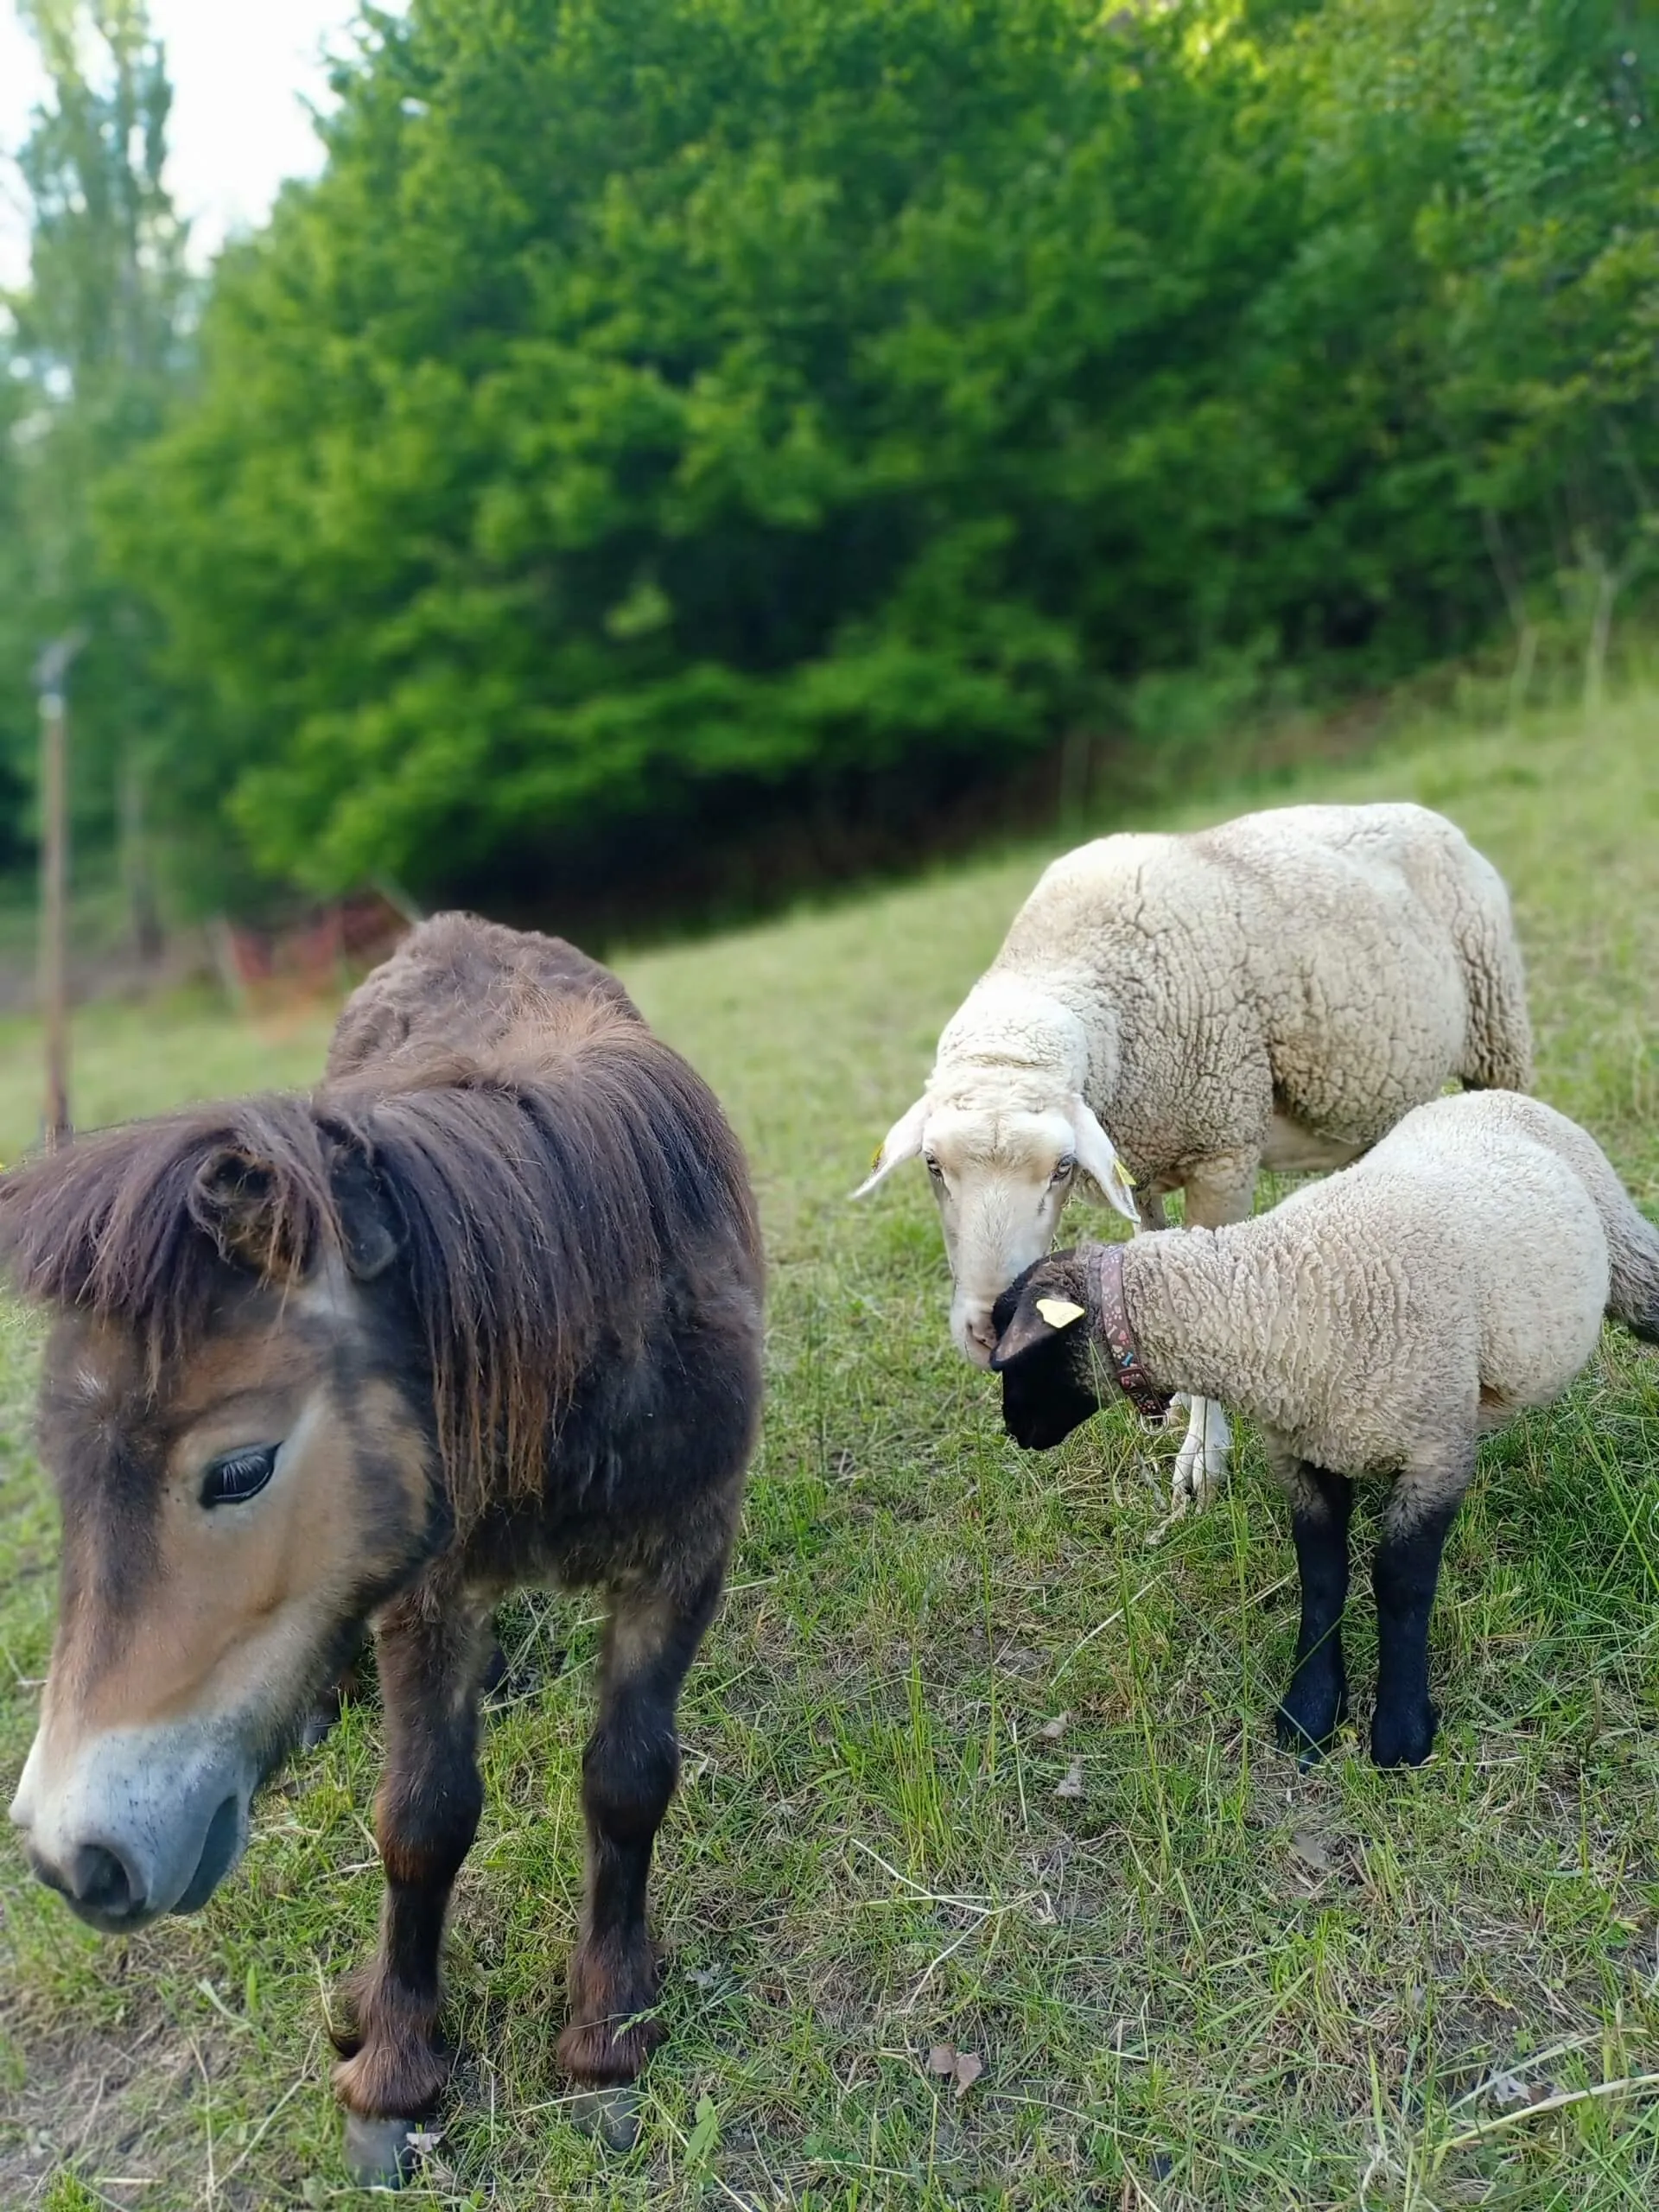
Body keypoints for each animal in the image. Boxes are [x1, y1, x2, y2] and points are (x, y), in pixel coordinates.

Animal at [1, 914, 764, 2184]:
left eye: (240, 1471)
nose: (75, 1856)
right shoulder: (431, 1593)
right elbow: (422, 1819)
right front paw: (397, 2065)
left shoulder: (684, 1556)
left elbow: (626, 1781)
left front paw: (608, 2032)